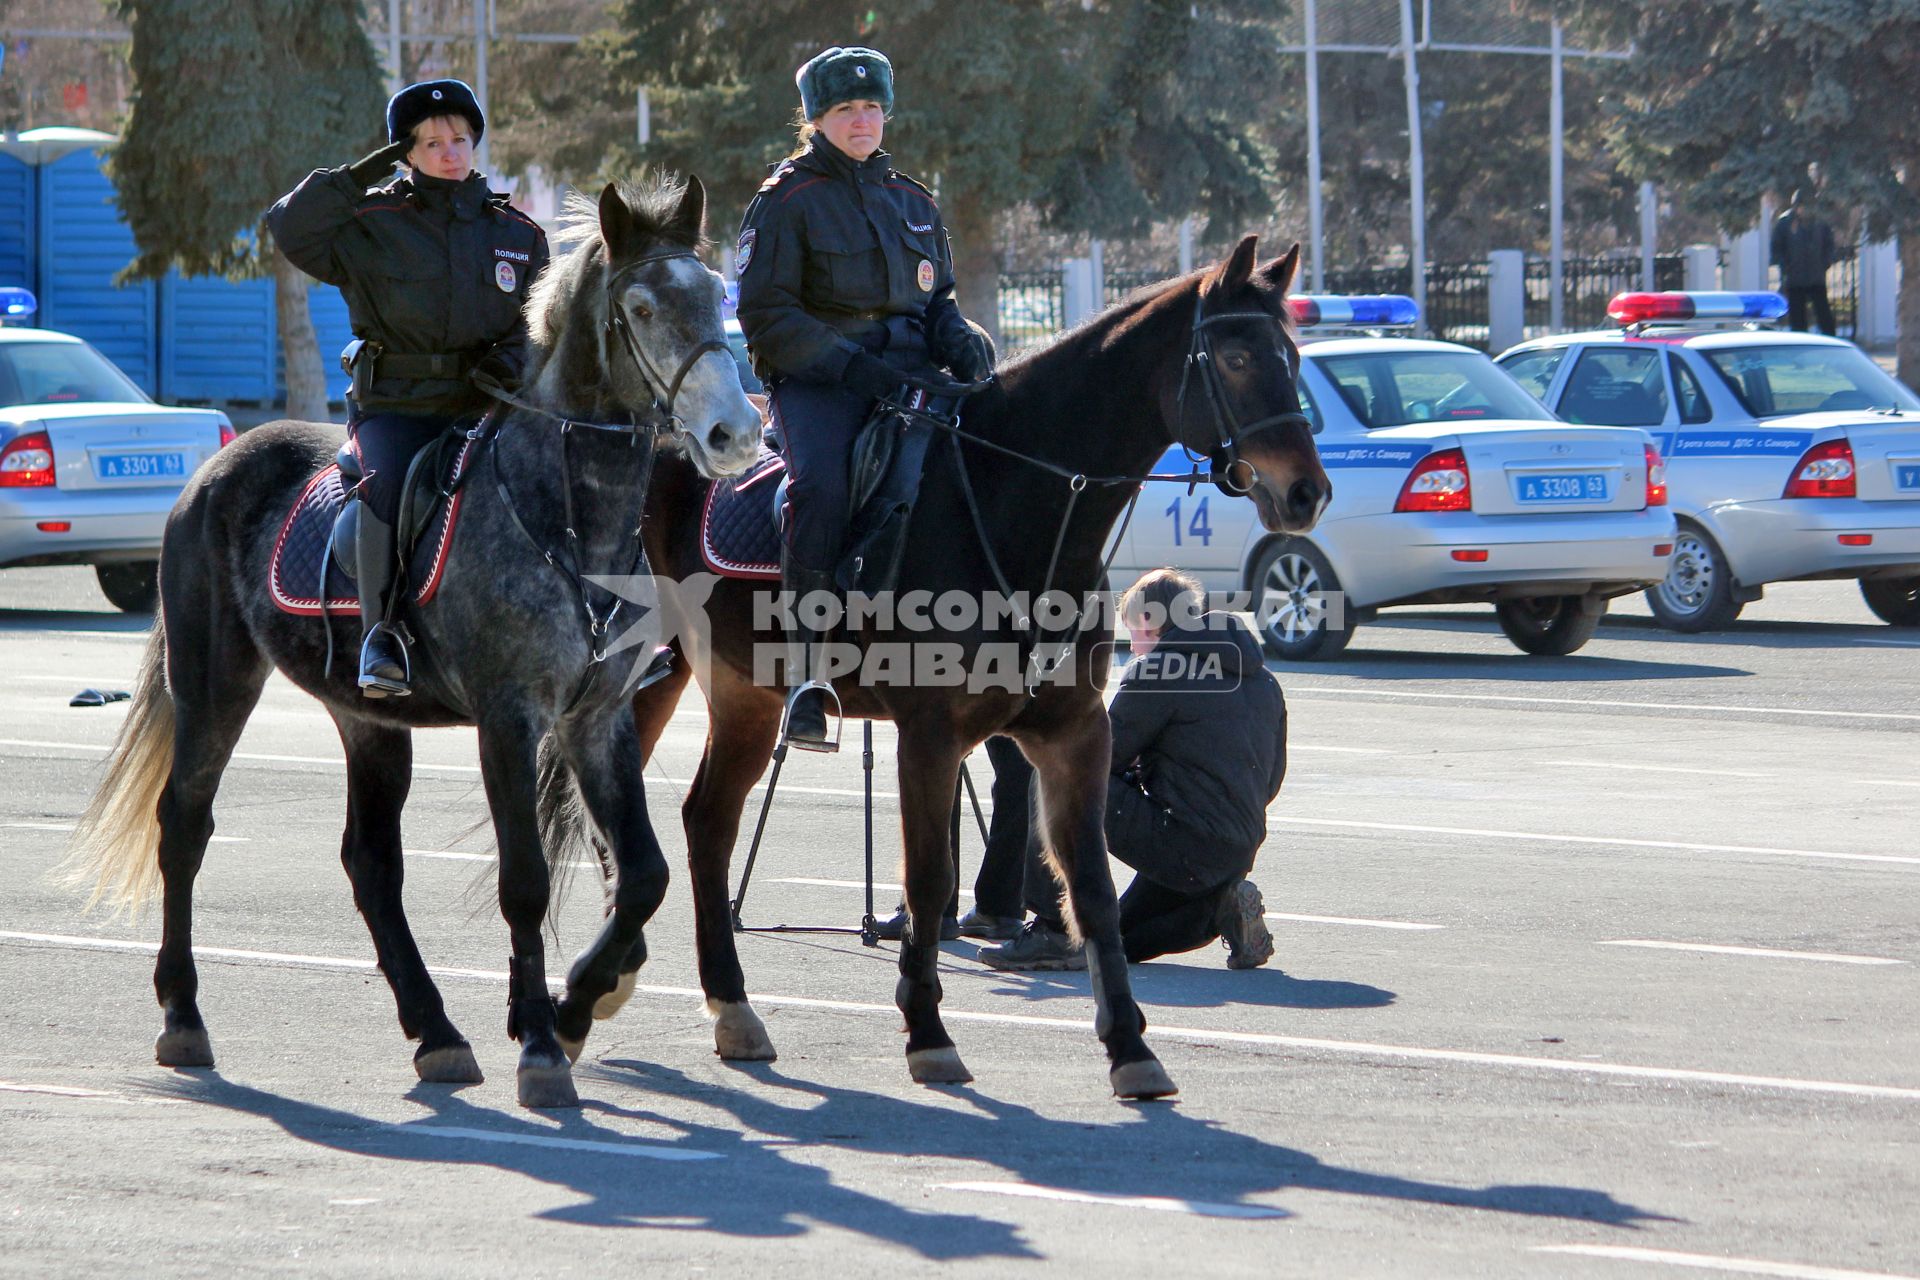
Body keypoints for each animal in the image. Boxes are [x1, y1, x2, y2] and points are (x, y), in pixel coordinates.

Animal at [568, 235, 1328, 1097]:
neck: (1012, 499)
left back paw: (724, 1008)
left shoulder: (1074, 732)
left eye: (1292, 355)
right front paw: (929, 1033)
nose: (1306, 493)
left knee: (705, 821)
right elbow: (928, 881)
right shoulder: (929, 735)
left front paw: (1131, 1048)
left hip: (738, 695)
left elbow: (1089, 884)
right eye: (1235, 355)